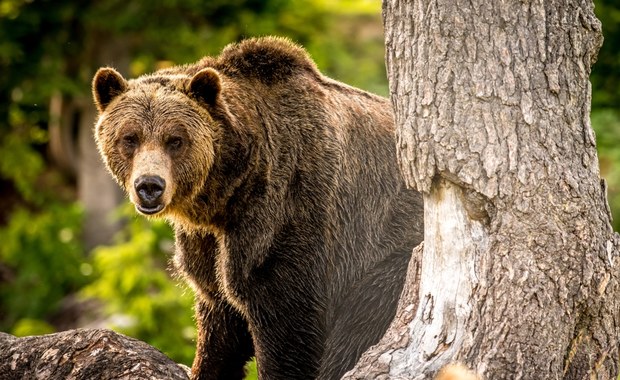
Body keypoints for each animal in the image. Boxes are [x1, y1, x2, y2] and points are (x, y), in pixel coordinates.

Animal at [92, 36, 424, 380]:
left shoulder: (287, 213)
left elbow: (286, 321)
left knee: (361, 320)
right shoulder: (206, 242)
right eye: (130, 137)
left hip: (394, 255)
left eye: (175, 139)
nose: (149, 185)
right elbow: (219, 317)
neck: (228, 192)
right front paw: (205, 367)